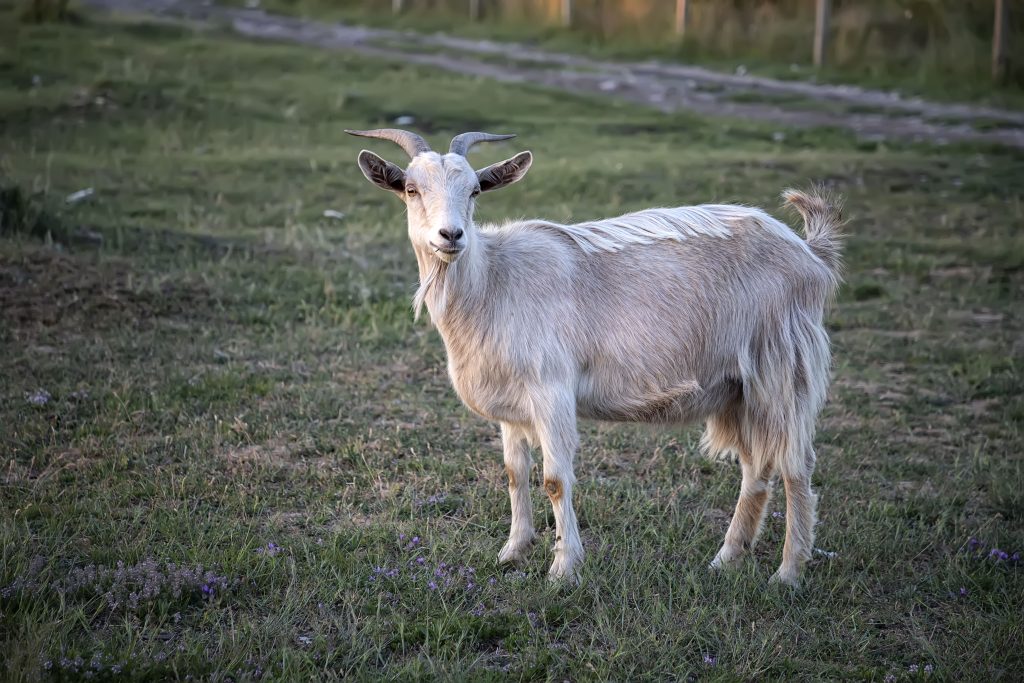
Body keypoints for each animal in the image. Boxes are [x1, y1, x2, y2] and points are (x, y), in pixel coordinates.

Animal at [348, 129, 843, 589]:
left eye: (474, 190)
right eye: (412, 189)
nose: (451, 235)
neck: (492, 280)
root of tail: (809, 253)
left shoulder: (550, 389)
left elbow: (554, 479)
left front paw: (564, 568)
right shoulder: (510, 401)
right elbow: (514, 473)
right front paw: (512, 552)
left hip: (783, 364)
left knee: (796, 465)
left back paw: (788, 573)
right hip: (739, 388)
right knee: (756, 467)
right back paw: (726, 558)